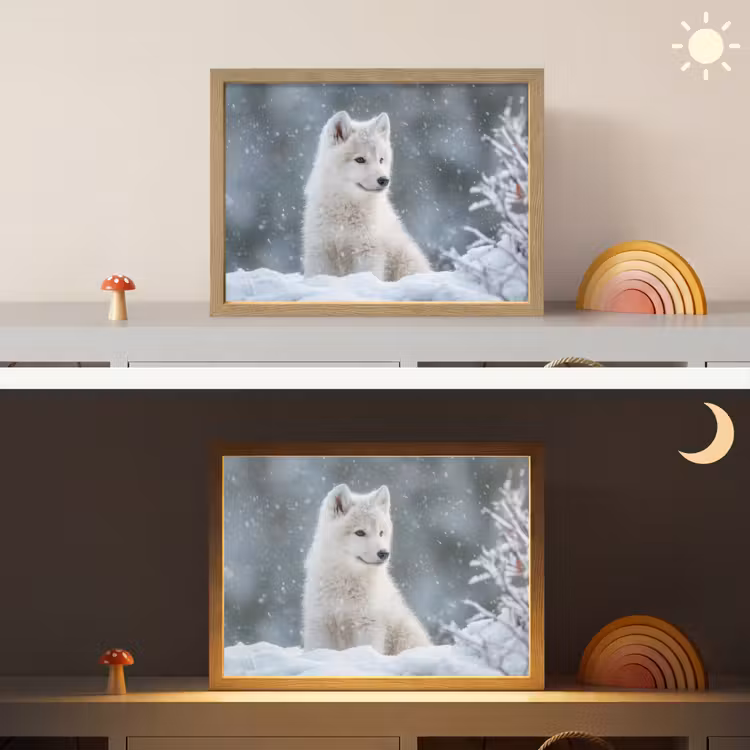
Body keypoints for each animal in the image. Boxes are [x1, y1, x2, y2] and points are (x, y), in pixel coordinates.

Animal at [302, 111, 431, 282]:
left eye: (381, 159)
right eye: (360, 159)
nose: (384, 180)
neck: (345, 211)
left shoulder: (367, 251)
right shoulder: (320, 251)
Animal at [302, 483, 432, 655]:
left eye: (381, 532)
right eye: (360, 532)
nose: (384, 553)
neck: (346, 584)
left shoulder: (368, 625)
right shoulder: (320, 624)